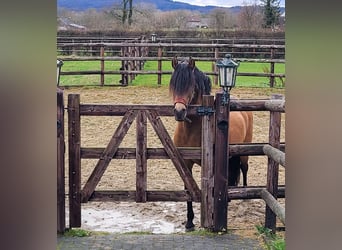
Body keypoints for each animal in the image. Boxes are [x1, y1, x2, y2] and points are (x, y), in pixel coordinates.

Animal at [170, 56, 252, 230]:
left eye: (190, 85)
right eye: (173, 84)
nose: (179, 112)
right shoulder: (186, 163)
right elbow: (188, 188)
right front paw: (189, 221)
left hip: (244, 152)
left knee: (244, 168)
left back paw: (244, 195)